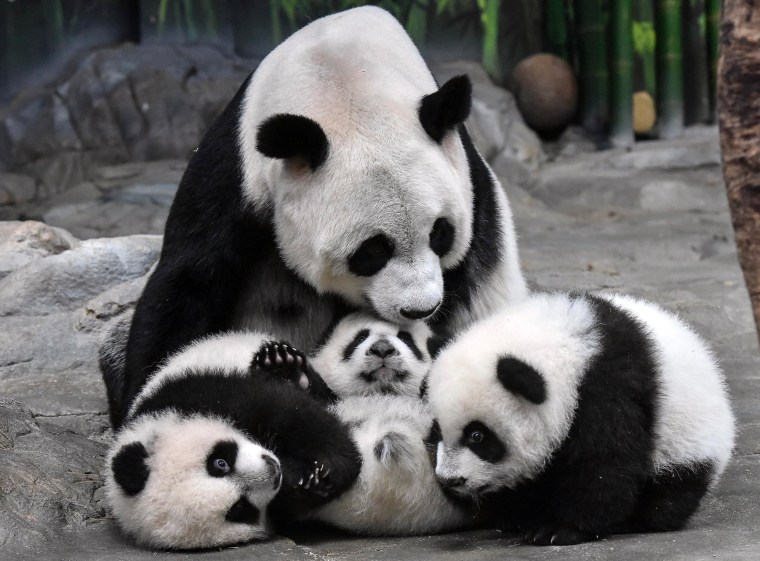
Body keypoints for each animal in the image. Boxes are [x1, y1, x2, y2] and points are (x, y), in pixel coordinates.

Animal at [104, 5, 524, 424]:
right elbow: (190, 279)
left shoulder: (472, 194)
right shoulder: (234, 171)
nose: (419, 309)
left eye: (440, 234)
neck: (341, 77)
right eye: (372, 251)